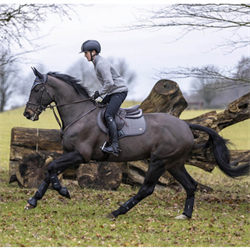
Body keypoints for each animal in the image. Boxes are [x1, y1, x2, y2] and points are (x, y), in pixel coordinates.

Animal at [23, 67, 250, 220]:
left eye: (37, 89)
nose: (27, 113)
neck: (80, 114)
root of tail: (185, 125)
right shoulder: (69, 153)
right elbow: (49, 171)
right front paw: (34, 200)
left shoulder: (81, 155)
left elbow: (52, 168)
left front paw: (63, 191)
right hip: (174, 163)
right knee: (190, 185)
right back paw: (185, 215)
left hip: (159, 161)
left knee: (146, 189)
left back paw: (117, 211)